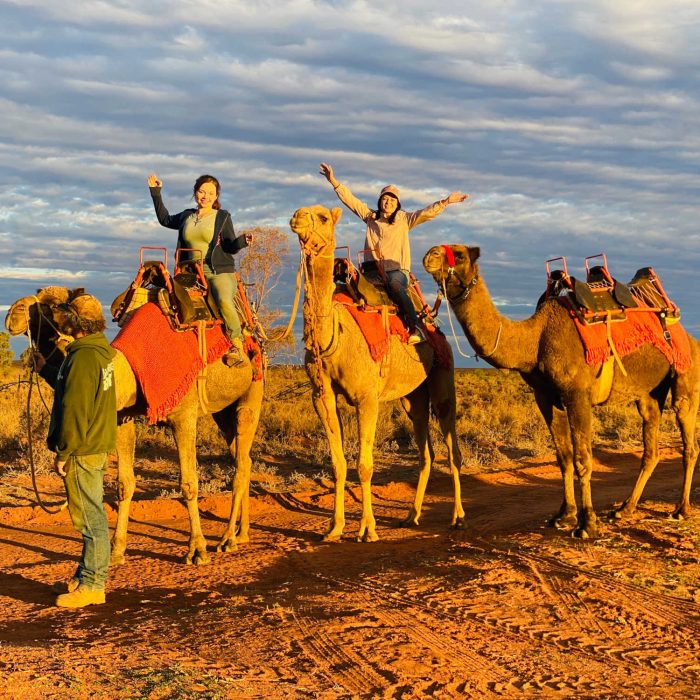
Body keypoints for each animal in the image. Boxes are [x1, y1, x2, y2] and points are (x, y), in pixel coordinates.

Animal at [6, 288, 262, 568]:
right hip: (222, 412)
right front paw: (117, 550)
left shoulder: (184, 415)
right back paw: (243, 533)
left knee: (241, 462)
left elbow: (188, 483)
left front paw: (197, 550)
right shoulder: (122, 419)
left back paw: (228, 539)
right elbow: (124, 484)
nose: (13, 313)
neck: (129, 372)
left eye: (50, 306)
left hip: (252, 390)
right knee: (244, 459)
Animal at [288, 202, 462, 540]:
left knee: (452, 451)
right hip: (412, 397)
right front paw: (335, 527)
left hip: (443, 378)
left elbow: (365, 465)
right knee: (426, 453)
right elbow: (338, 464)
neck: (335, 335)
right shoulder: (321, 396)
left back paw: (458, 517)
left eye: (323, 217)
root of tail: (435, 327)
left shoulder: (367, 398)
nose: (296, 217)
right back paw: (412, 515)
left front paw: (367, 529)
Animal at [422, 243, 700, 540]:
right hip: (648, 394)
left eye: (460, 254)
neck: (535, 339)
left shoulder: (577, 395)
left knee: (689, 441)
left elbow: (583, 459)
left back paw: (680, 509)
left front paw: (587, 523)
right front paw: (564, 515)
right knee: (651, 449)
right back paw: (625, 509)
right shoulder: (545, 397)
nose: (430, 255)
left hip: (685, 374)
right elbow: (564, 457)